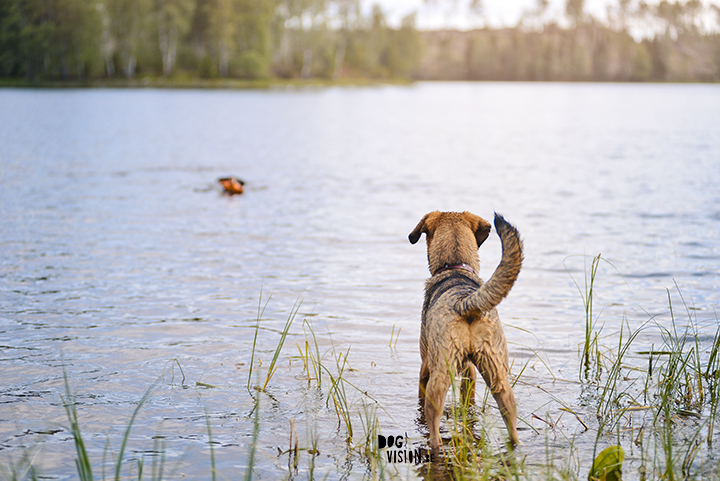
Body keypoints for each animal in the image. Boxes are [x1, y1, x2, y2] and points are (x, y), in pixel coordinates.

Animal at [410, 210, 524, 446]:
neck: (455, 266)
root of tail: (465, 303)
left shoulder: (425, 365)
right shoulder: (470, 370)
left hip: (439, 375)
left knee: (433, 426)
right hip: (499, 375)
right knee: (511, 422)